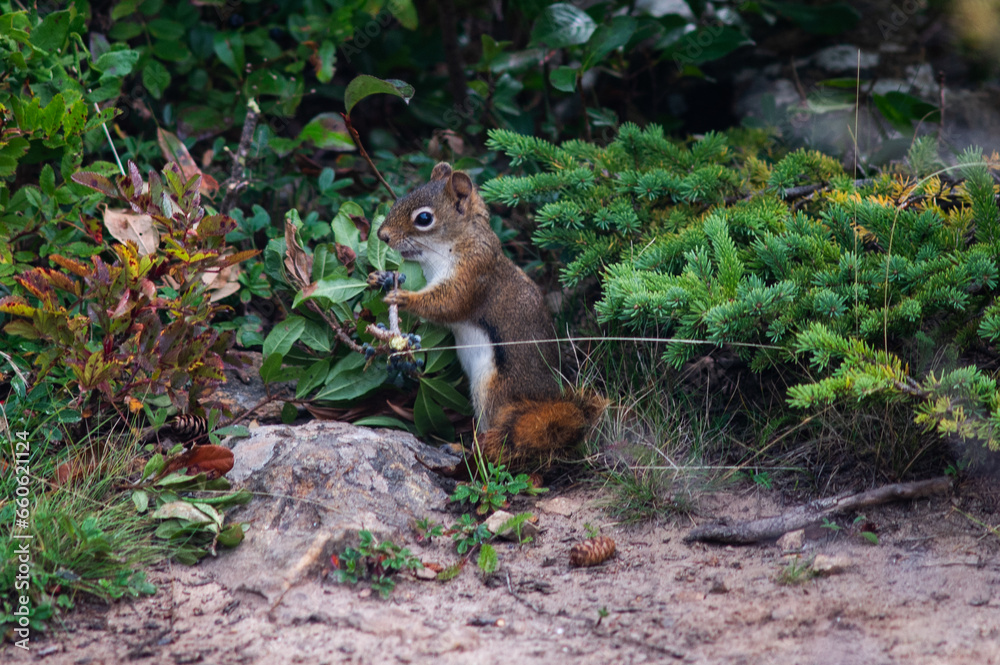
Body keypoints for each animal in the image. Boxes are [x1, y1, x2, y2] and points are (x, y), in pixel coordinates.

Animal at [368, 162, 606, 469]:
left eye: (424, 218)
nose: (382, 235)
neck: (455, 242)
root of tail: (541, 405)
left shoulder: (474, 273)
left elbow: (448, 304)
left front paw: (405, 297)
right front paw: (380, 277)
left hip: (492, 390)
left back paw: (462, 450)